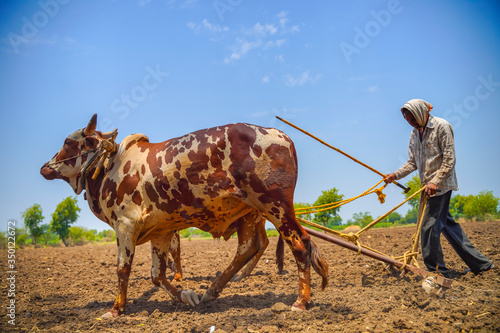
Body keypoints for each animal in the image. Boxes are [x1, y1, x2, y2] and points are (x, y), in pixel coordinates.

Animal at [41, 113, 330, 316]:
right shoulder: (160, 232)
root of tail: (281, 135)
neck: (110, 164)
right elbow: (157, 276)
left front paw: (115, 310)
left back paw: (301, 301)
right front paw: (186, 296)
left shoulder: (125, 226)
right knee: (249, 248)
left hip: (276, 208)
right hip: (251, 213)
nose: (45, 167)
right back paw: (212, 290)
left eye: (69, 142)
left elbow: (123, 269)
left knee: (299, 246)